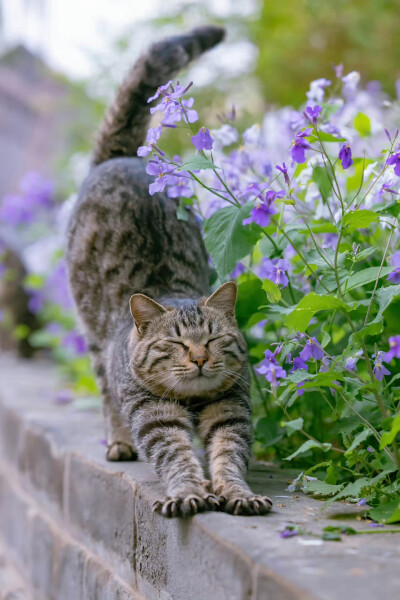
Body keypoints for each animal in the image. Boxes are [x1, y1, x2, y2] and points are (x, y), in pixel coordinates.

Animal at [66, 25, 272, 516]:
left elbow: (229, 454)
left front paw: (237, 493)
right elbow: (176, 455)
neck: (193, 403)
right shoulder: (155, 416)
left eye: (212, 340)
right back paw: (119, 443)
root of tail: (121, 156)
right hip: (94, 338)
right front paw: (189, 492)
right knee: (106, 396)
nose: (198, 358)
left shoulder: (231, 409)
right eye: (177, 343)